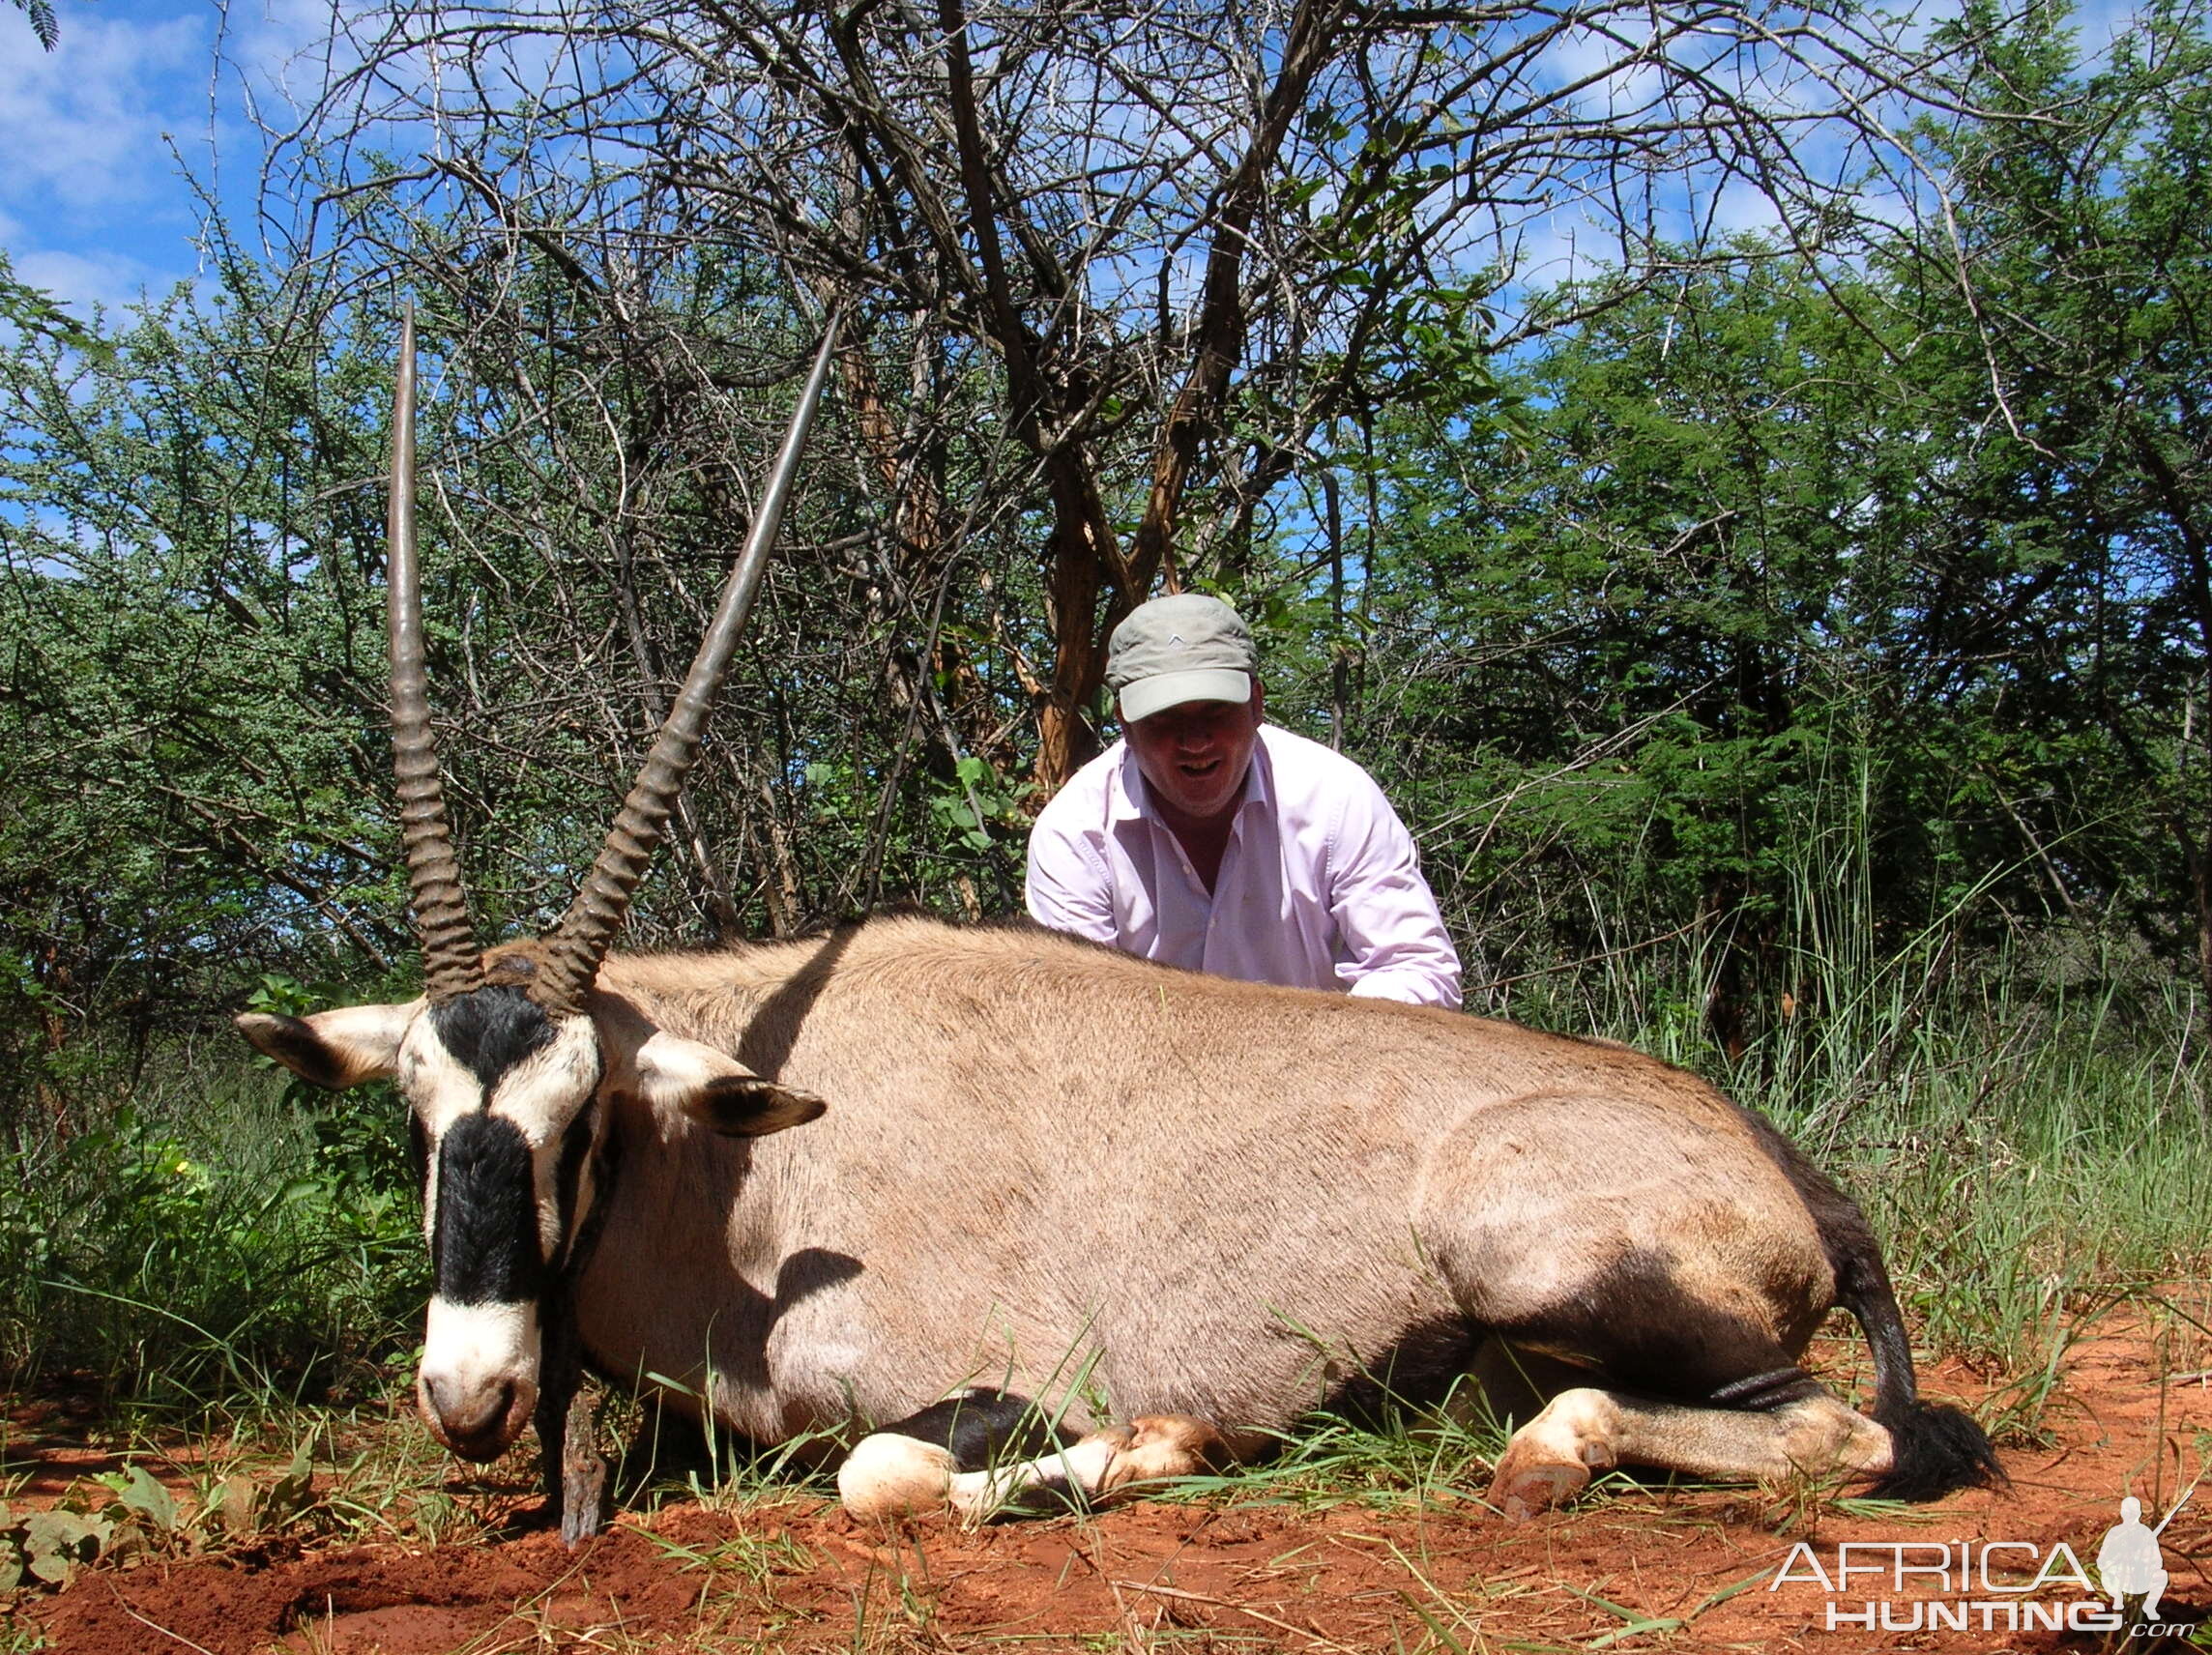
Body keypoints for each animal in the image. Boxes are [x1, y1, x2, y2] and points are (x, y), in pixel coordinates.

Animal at [233, 309, 1999, 1539]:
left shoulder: (990, 1378)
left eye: (576, 1117)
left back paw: (1533, 1461)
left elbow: (885, 1473)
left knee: (1825, 1430)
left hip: (1538, 1265)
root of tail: (1792, 1176)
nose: (469, 1392)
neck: (742, 1173)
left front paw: (1171, 1442)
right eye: (417, 1115)